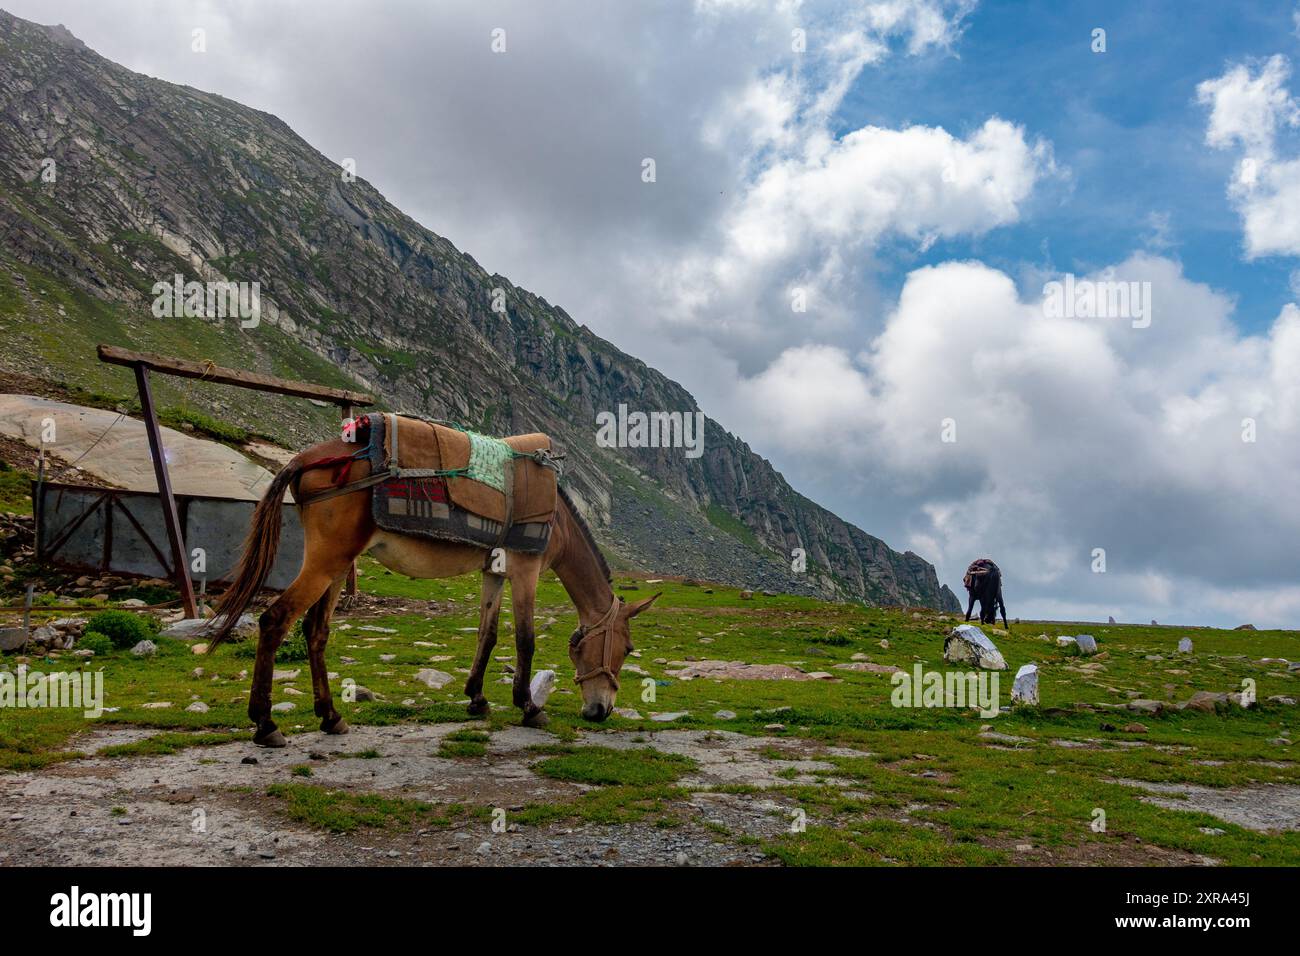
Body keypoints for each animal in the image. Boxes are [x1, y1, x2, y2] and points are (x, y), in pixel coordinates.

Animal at [206, 427, 658, 748]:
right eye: (628, 649)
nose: (602, 710)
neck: (559, 520)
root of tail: (305, 458)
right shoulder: (525, 570)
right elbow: (525, 640)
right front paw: (529, 707)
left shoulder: (494, 571)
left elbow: (488, 634)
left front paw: (477, 699)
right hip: (326, 561)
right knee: (274, 620)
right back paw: (266, 724)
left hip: (337, 566)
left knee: (315, 632)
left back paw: (331, 716)